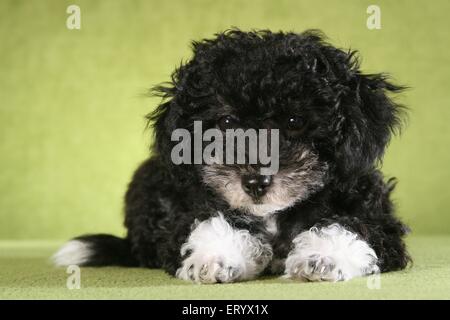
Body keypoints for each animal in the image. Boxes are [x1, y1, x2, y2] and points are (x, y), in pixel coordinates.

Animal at [53, 30, 412, 282]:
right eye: (226, 123)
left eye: (294, 121)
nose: (255, 183)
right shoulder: (190, 207)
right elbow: (211, 221)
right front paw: (215, 257)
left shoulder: (371, 211)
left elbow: (349, 225)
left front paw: (324, 257)